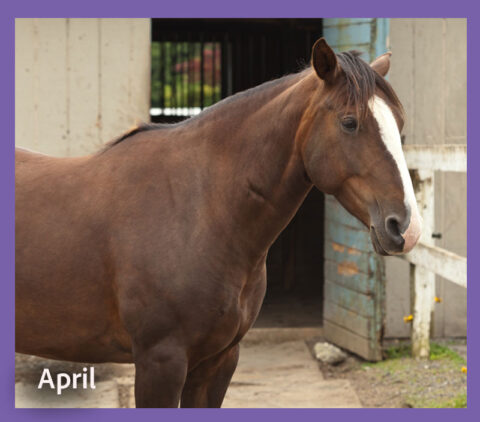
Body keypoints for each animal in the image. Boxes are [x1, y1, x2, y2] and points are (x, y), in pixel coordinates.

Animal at [15, 38, 421, 408]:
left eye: (400, 123)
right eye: (350, 123)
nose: (406, 228)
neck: (198, 211)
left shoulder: (218, 361)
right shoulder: (159, 363)